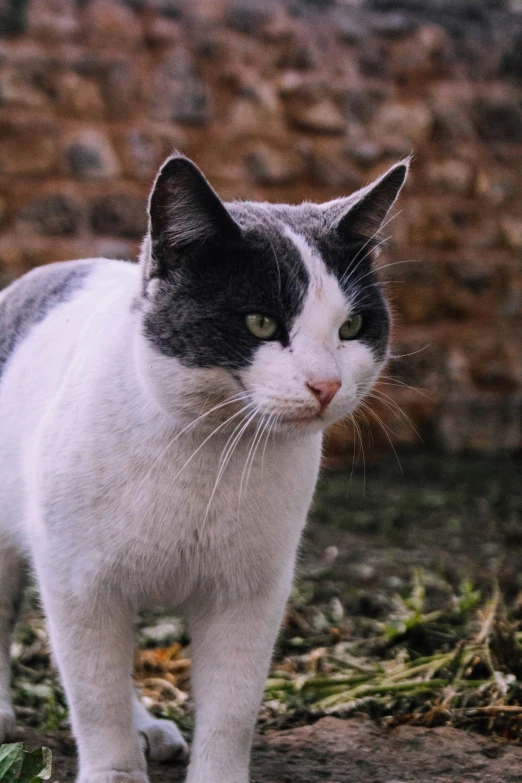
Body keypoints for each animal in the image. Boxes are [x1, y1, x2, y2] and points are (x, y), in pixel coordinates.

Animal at [0, 155, 406, 783]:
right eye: (260, 323)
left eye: (351, 328)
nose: (327, 384)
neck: (210, 452)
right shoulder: (79, 583)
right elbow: (94, 693)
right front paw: (114, 770)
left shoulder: (250, 591)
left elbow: (232, 707)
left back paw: (149, 728)